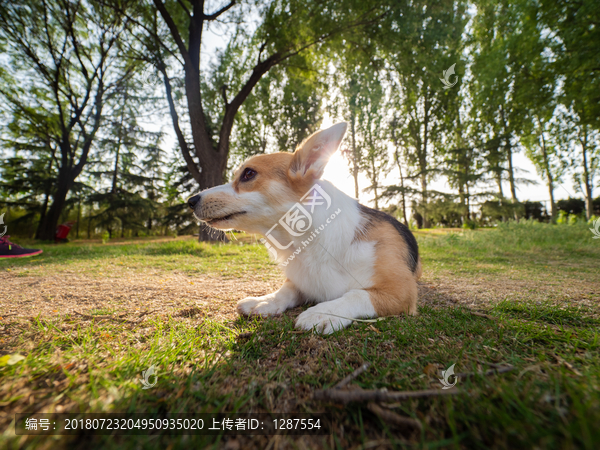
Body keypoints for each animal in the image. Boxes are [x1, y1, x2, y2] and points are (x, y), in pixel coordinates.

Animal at [188, 123, 422, 334]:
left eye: (248, 174)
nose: (191, 201)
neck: (307, 241)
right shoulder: (300, 281)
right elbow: (286, 290)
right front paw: (264, 301)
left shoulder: (402, 290)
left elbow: (356, 294)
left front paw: (323, 312)